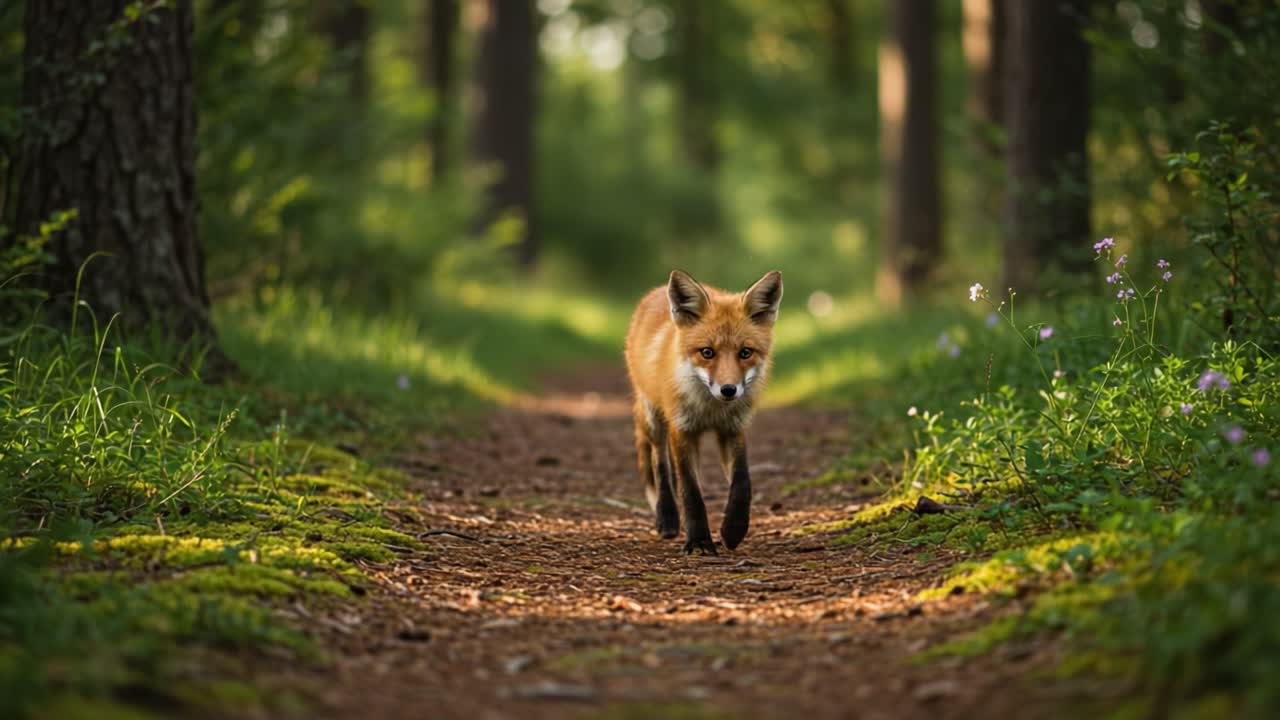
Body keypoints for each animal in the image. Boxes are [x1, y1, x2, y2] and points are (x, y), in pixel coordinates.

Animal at [623, 269, 783, 555]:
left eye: (745, 352)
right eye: (707, 352)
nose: (729, 390)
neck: (711, 410)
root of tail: (656, 291)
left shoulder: (732, 429)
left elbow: (743, 483)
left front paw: (733, 530)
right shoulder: (683, 429)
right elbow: (690, 491)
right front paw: (699, 541)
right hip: (654, 417)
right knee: (659, 463)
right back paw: (667, 518)